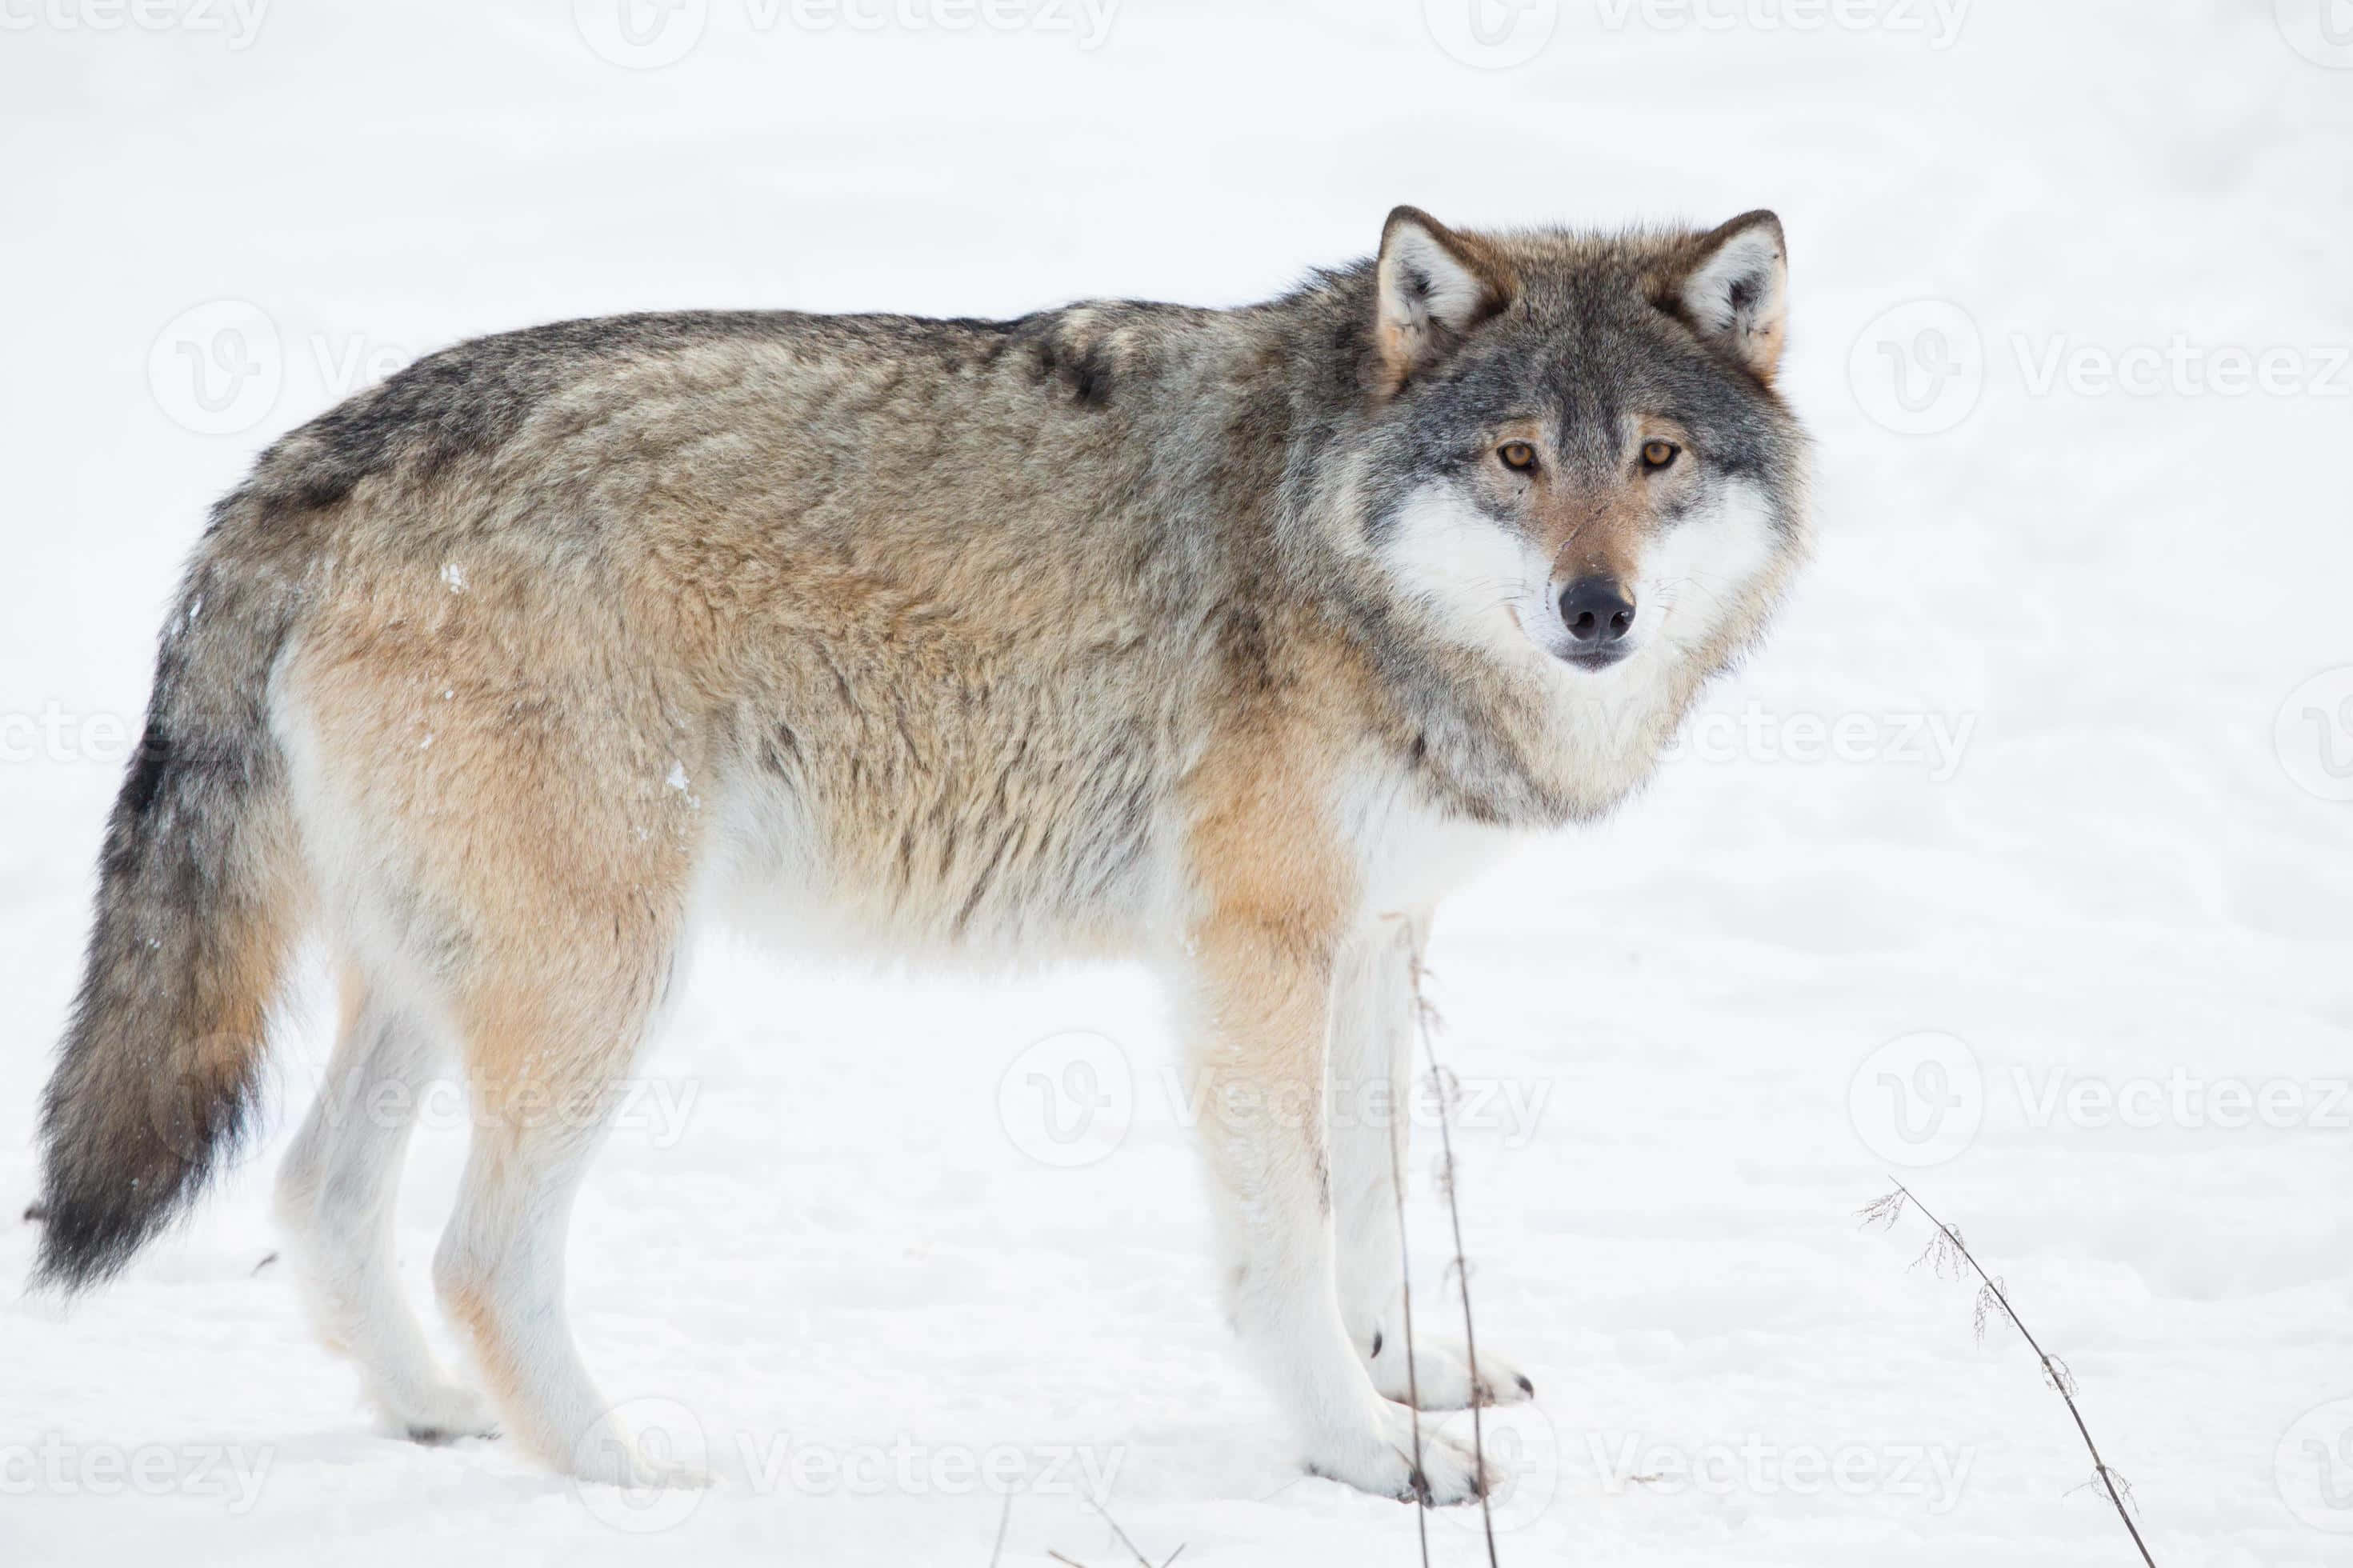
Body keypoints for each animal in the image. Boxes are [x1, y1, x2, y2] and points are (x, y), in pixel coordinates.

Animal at [32, 206, 1809, 1503]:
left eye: (1656, 456)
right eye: (1517, 458)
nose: (1598, 610)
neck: (1328, 540)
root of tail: (307, 456)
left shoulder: (1374, 939)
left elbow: (1375, 1199)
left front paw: (1407, 1377)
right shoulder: (1251, 947)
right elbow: (1290, 1234)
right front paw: (1365, 1454)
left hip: (438, 970)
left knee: (323, 1193)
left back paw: (432, 1413)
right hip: (600, 978)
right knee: (474, 1251)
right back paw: (621, 1472)